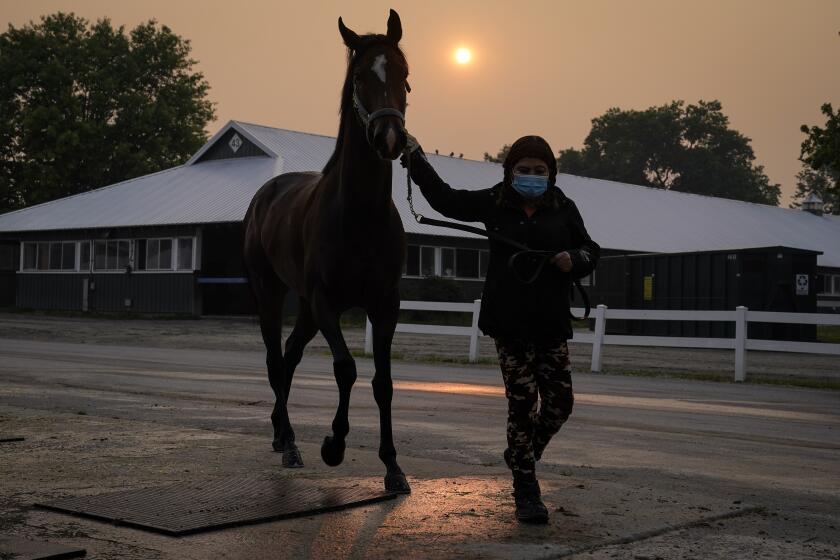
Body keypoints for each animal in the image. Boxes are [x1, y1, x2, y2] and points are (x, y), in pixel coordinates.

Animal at [241, 9, 412, 494]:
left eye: (404, 74)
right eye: (359, 77)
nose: (389, 138)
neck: (359, 214)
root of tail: (265, 195)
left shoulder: (385, 304)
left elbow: (383, 382)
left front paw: (393, 467)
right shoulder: (326, 301)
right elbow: (346, 369)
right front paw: (333, 445)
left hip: (304, 307)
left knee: (290, 355)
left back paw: (281, 435)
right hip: (270, 292)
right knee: (274, 358)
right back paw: (291, 444)